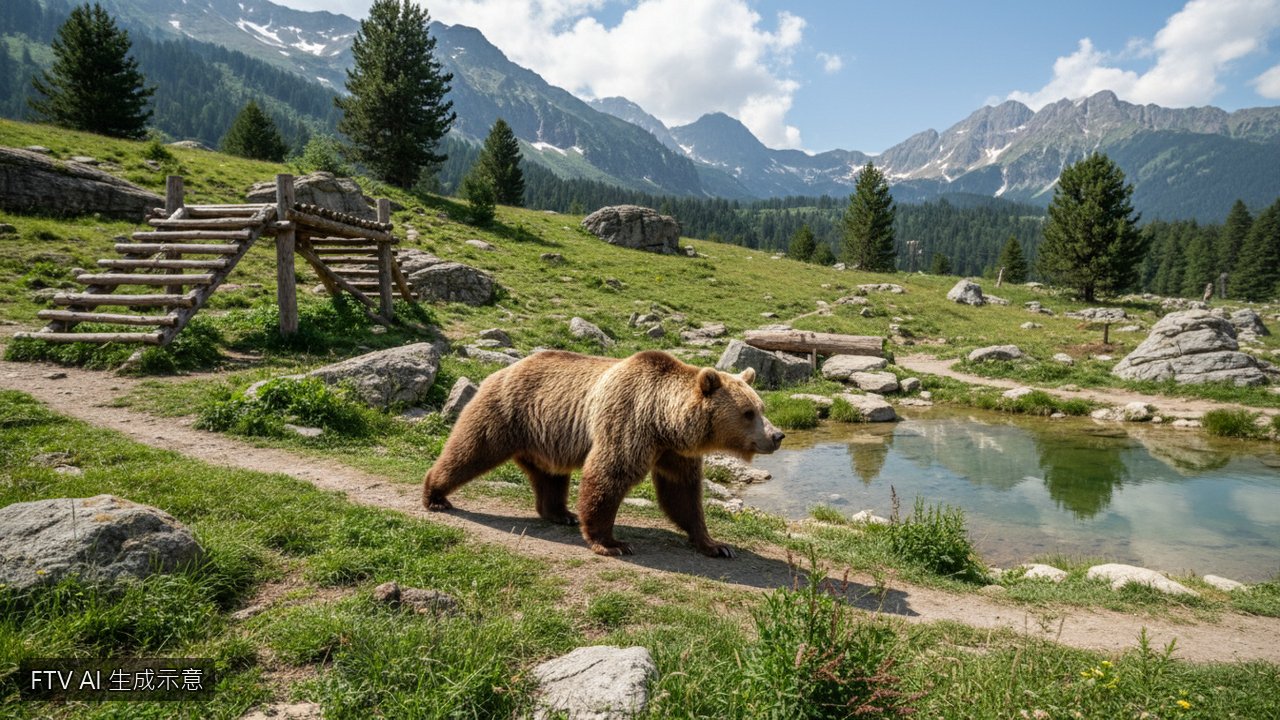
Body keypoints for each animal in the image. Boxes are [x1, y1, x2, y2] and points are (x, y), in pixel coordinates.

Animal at [422, 349, 785, 557]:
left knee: (550, 475)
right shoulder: (629, 422)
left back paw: (561, 513)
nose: (777, 435)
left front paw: (715, 545)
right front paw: (612, 543)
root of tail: (503, 369)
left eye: (761, 407)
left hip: (546, 434)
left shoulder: (673, 452)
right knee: (470, 448)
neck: (664, 422)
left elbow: (682, 493)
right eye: (748, 413)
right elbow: (609, 476)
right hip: (506, 412)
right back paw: (435, 496)